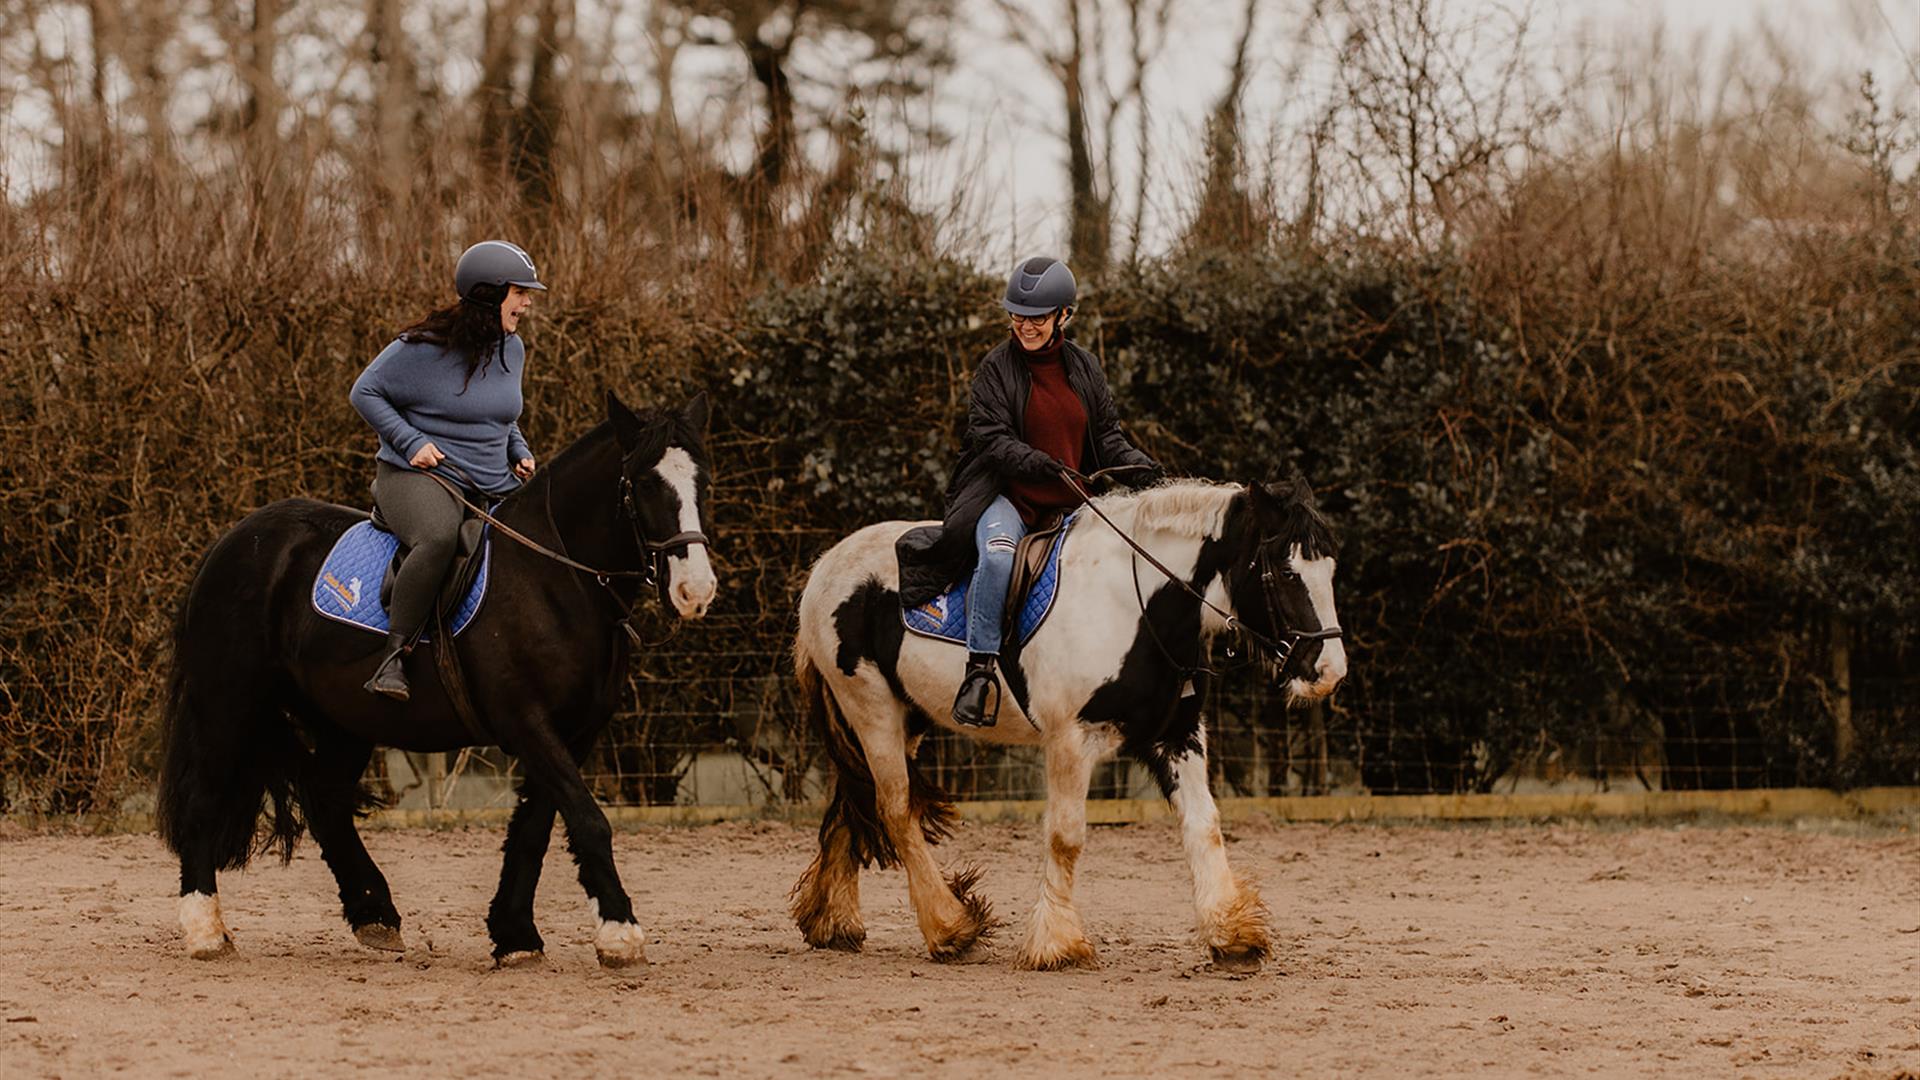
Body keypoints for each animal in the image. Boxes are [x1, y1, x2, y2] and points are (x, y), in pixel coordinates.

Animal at [787, 474, 1344, 960]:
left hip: (905, 719)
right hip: (872, 710)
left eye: (1331, 571)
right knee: (896, 810)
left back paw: (834, 922)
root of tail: (826, 568)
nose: (1329, 671)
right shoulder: (1072, 741)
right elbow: (1066, 836)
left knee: (854, 801)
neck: (1135, 609)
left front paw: (1232, 933)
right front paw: (1056, 943)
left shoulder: (1177, 736)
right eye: (1286, 572)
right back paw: (949, 927)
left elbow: (1203, 824)